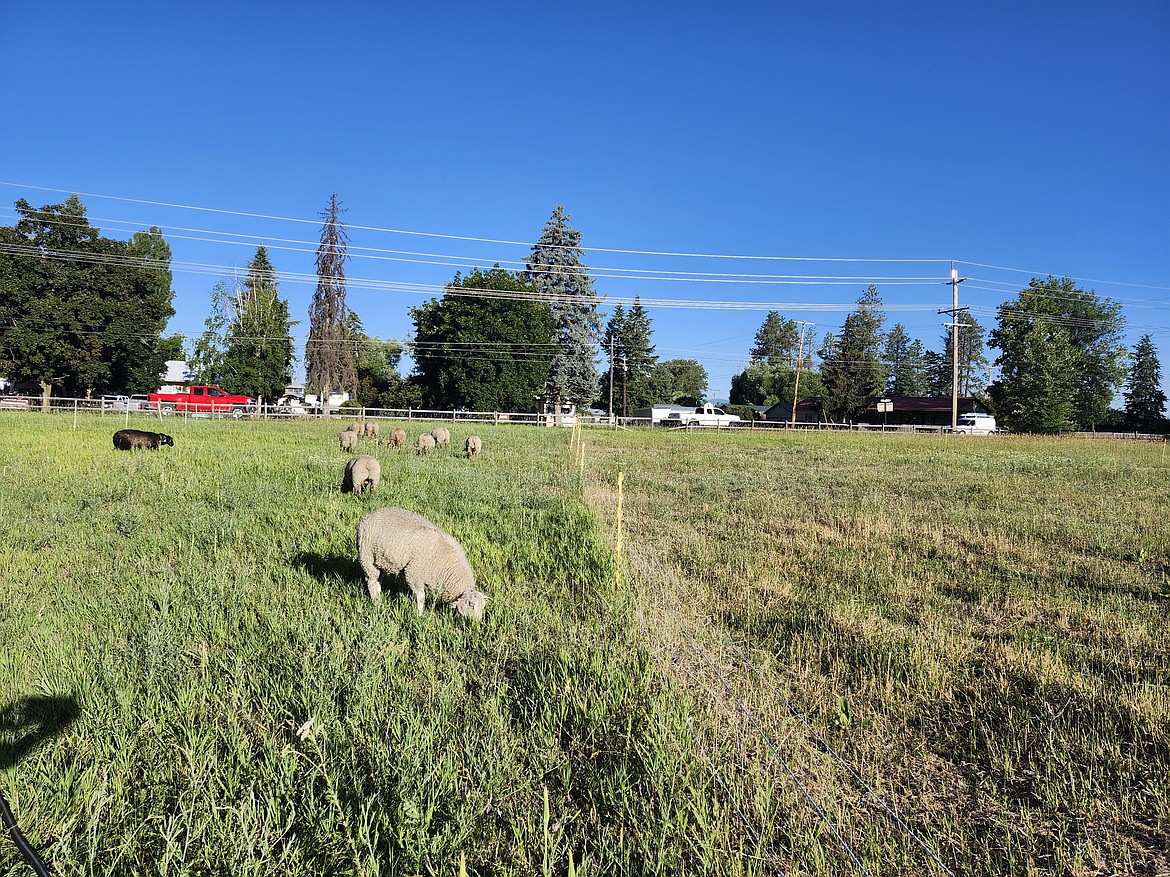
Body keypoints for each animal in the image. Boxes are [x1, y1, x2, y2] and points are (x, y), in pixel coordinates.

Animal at [356, 506, 489, 619]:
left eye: (483, 606)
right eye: (471, 604)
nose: (477, 623)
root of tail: (368, 515)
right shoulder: (414, 574)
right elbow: (421, 598)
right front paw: (419, 614)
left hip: (381, 561)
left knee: (378, 580)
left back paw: (379, 597)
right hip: (367, 557)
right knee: (371, 581)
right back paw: (376, 603)